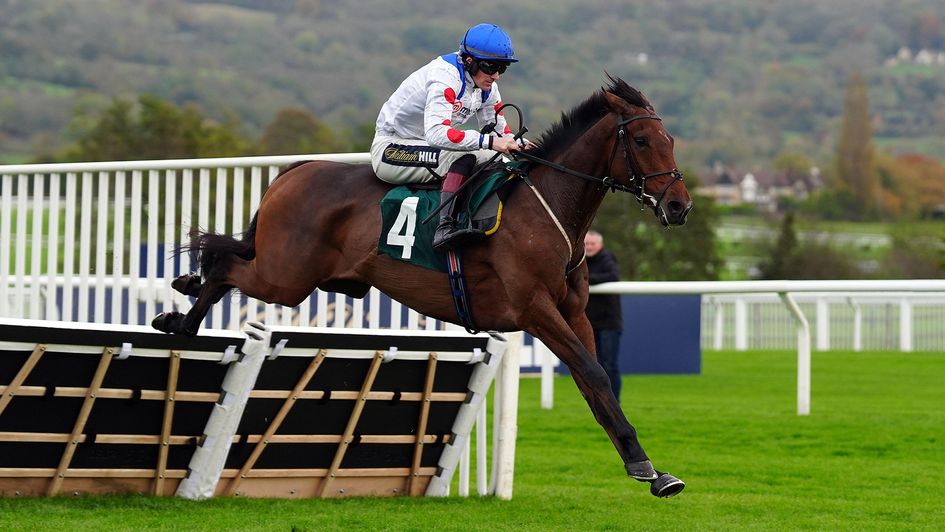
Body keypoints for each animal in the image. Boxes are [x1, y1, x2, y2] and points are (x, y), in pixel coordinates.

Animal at [155, 76, 692, 498]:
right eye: (641, 140)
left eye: (669, 138)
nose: (679, 206)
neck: (545, 209)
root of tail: (296, 170)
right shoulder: (534, 310)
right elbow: (595, 374)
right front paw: (644, 464)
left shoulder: (574, 312)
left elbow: (594, 382)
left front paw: (648, 467)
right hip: (283, 277)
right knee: (224, 266)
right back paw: (180, 320)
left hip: (295, 274)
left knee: (226, 259)